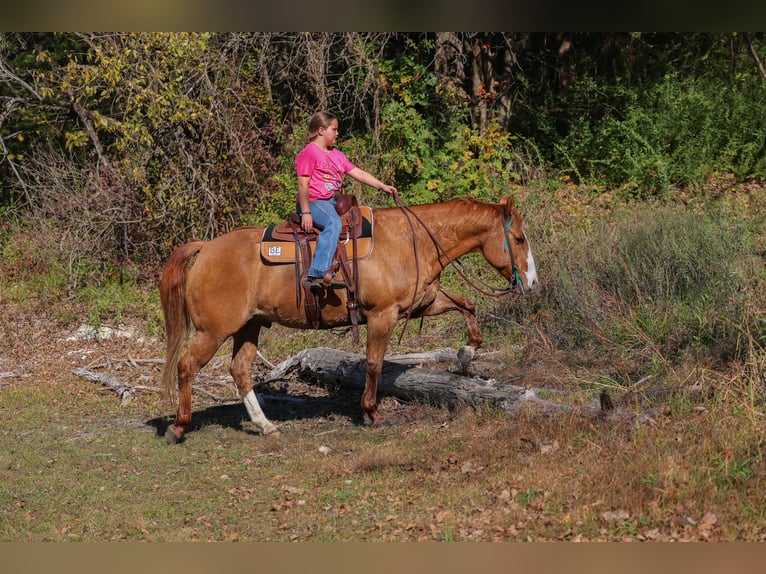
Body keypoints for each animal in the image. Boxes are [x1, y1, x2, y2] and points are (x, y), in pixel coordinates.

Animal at [159, 195, 538, 443]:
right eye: (519, 238)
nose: (532, 282)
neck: (411, 241)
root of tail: (206, 247)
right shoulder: (382, 315)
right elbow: (373, 363)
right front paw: (372, 412)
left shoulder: (423, 302)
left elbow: (467, 305)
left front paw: (467, 351)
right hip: (213, 331)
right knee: (186, 366)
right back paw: (178, 426)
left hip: (248, 326)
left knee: (239, 370)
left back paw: (266, 425)